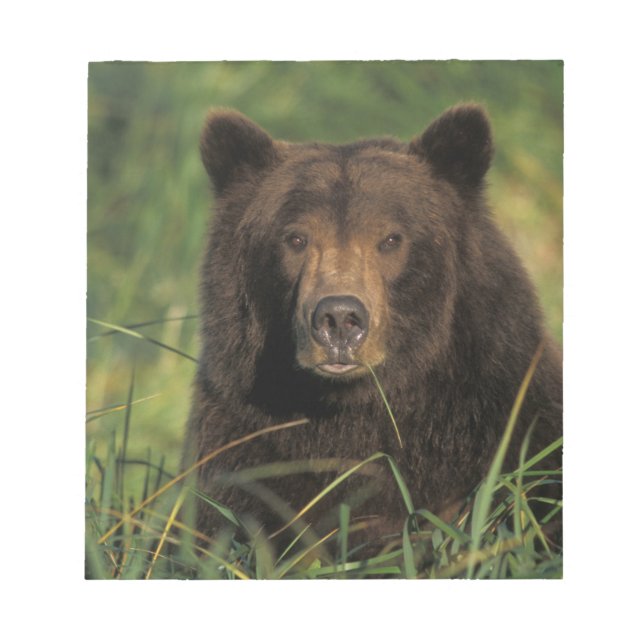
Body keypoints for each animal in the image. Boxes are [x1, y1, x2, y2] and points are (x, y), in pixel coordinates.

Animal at [183, 104, 563, 558]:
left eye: (391, 238)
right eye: (296, 238)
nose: (339, 319)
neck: (357, 410)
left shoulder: (503, 422)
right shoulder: (247, 445)